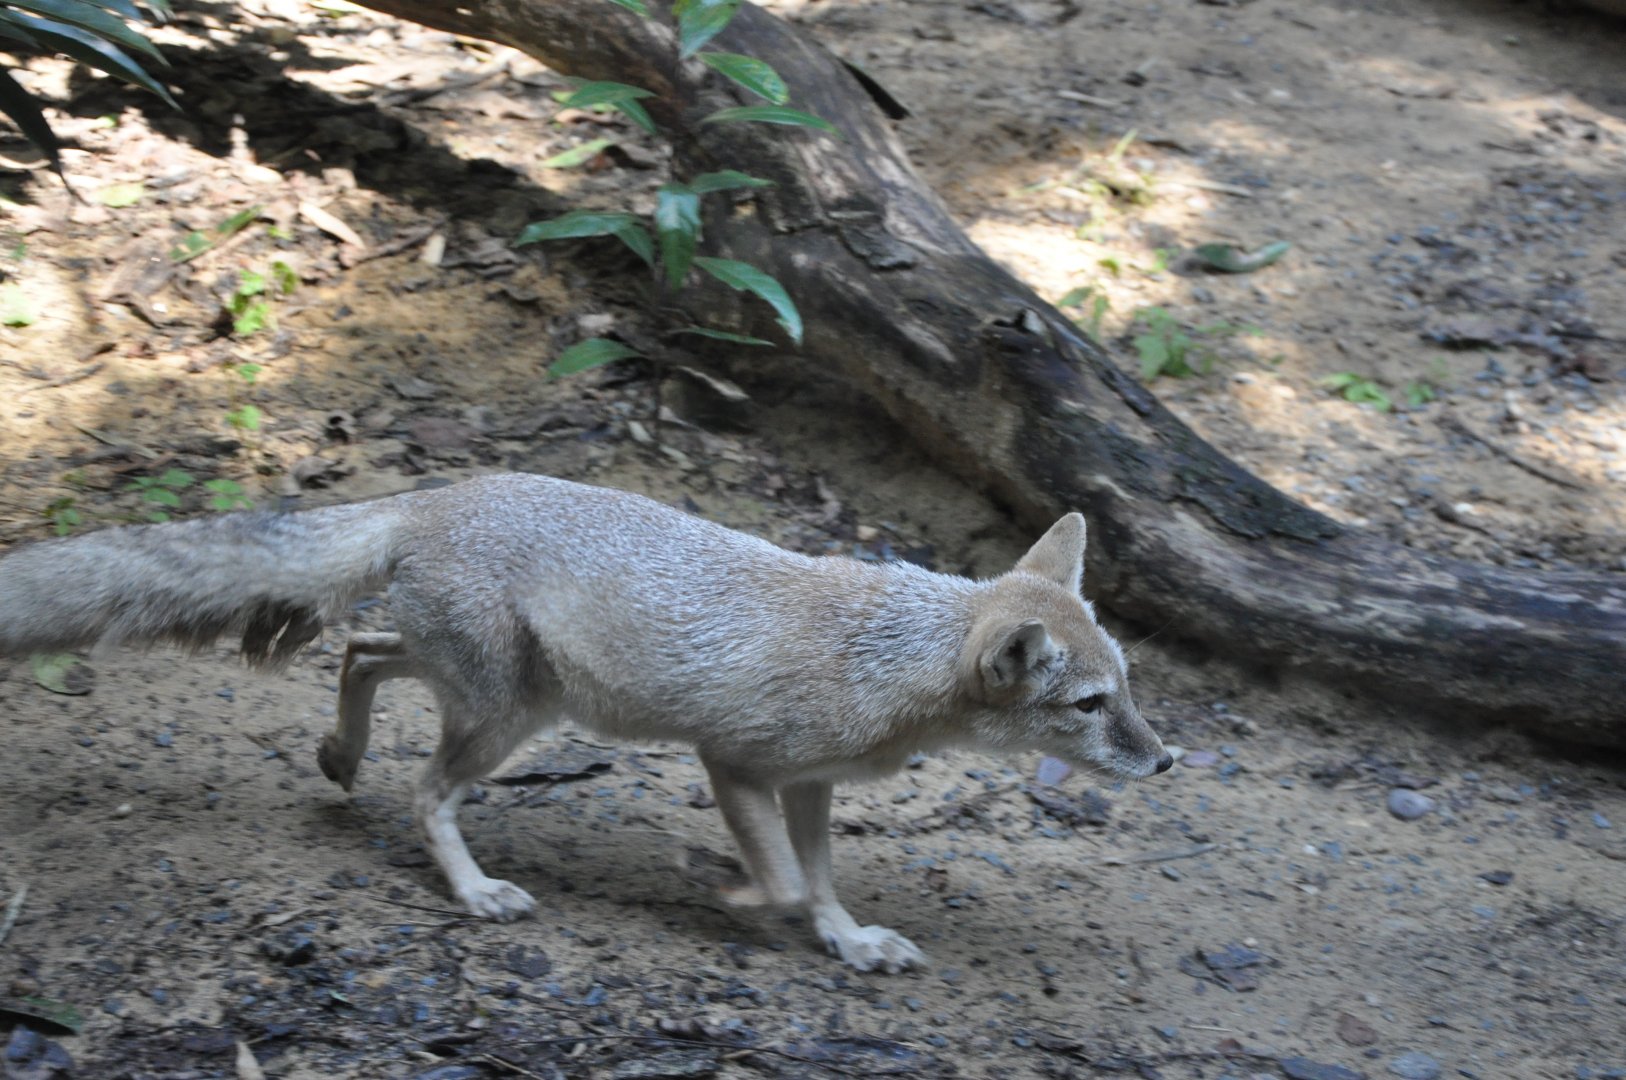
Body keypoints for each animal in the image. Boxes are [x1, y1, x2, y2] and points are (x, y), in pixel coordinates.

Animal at [0, 472, 1171, 972]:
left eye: (1128, 686)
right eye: (1090, 707)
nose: (1166, 760)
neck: (881, 656)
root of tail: (437, 493)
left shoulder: (808, 788)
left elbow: (825, 885)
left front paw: (849, 943)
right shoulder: (732, 763)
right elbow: (786, 885)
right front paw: (730, 892)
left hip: (500, 691)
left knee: (360, 650)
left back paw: (340, 753)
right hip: (505, 715)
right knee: (424, 787)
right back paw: (472, 890)